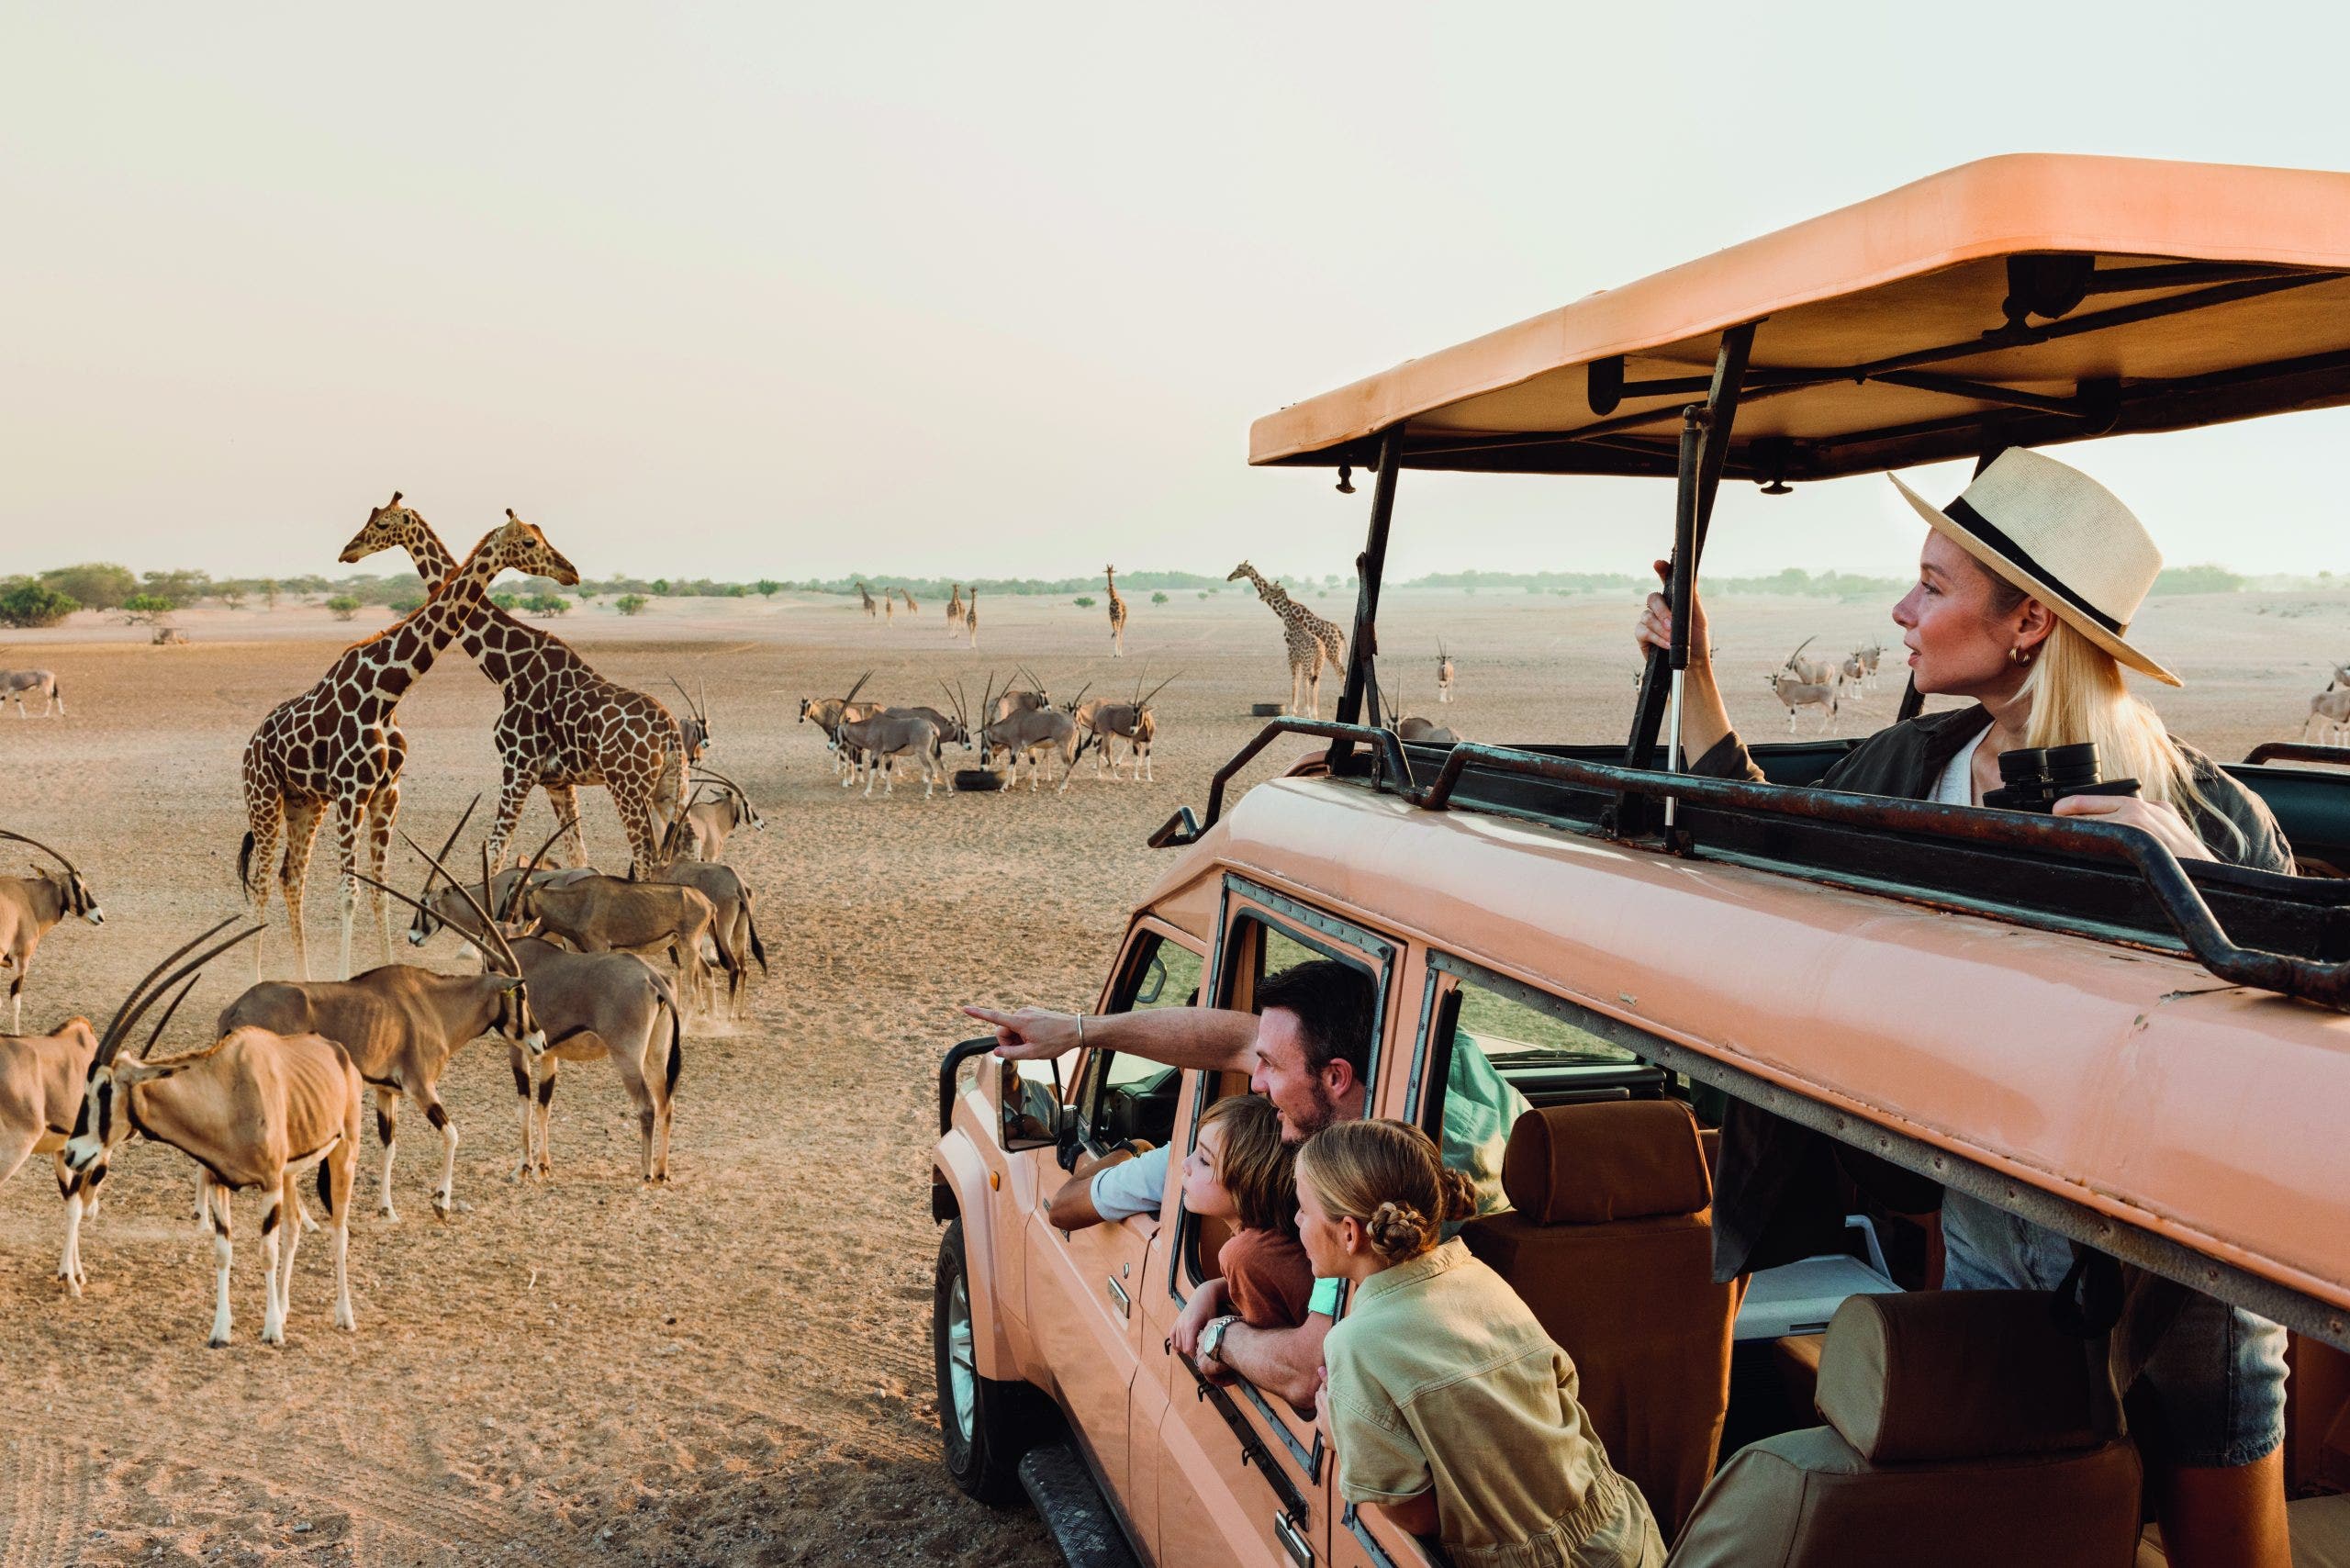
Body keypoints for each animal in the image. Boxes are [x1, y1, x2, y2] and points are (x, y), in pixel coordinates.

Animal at [243, 512, 579, 981]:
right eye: (530, 542)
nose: (571, 572)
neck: (387, 693)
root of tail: (250, 745)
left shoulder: (386, 793)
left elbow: (380, 890)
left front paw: (386, 967)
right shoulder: (352, 792)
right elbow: (349, 890)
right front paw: (345, 976)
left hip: (306, 803)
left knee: (292, 877)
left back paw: (303, 976)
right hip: (264, 797)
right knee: (260, 880)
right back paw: (255, 976)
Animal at [337, 495, 693, 880]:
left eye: (382, 524)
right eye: (532, 539)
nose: (348, 551)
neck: (507, 671)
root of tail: (670, 733)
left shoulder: (518, 764)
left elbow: (496, 849)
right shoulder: (557, 781)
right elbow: (578, 855)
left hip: (628, 784)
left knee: (644, 855)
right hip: (671, 786)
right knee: (688, 845)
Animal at [1227, 561, 1346, 718]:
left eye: (1240, 569)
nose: (1229, 577)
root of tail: (1339, 632)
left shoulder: (1293, 652)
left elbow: (1298, 680)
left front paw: (1296, 710)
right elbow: (1303, 680)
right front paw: (1303, 710)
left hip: (1332, 653)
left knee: (1339, 674)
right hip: (1332, 654)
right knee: (1323, 678)